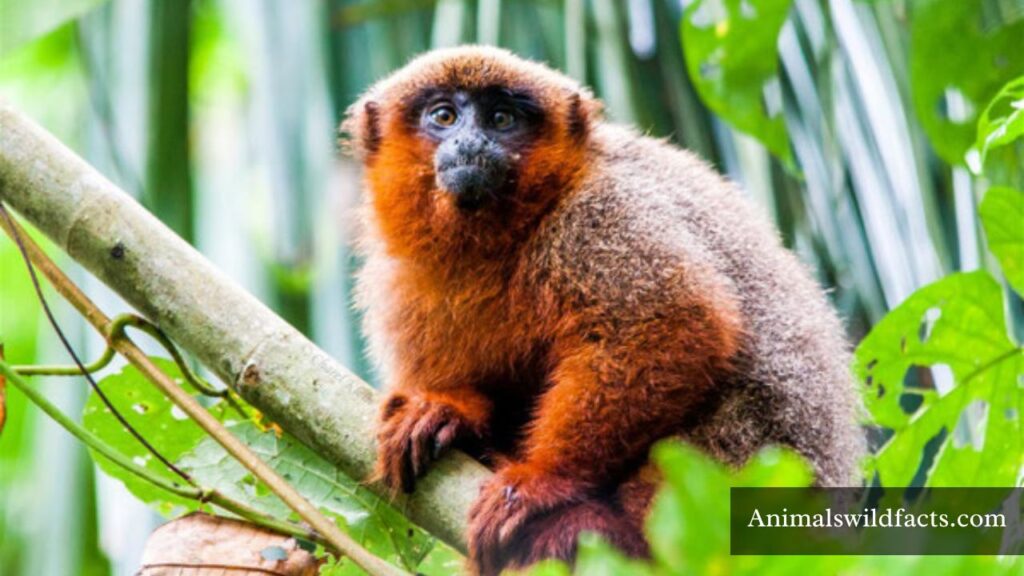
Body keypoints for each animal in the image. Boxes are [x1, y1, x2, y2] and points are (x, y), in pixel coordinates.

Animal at [342, 46, 865, 575]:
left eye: (502, 119)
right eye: (444, 116)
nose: (471, 142)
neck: (501, 246)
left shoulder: (600, 215)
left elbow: (677, 321)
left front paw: (539, 482)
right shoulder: (399, 284)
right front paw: (449, 412)